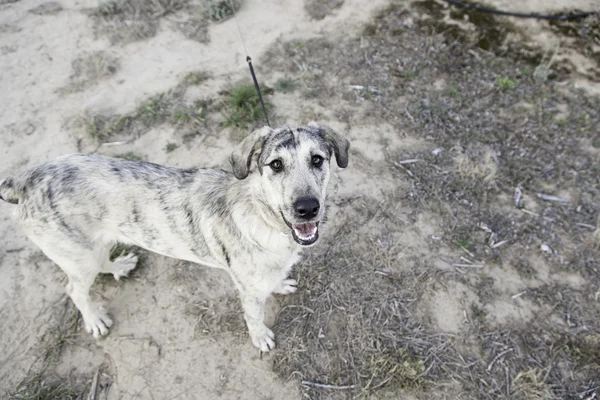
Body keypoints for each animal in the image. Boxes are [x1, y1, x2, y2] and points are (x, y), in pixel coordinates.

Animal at [0, 123, 350, 352]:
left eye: (317, 159)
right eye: (275, 165)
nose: (307, 208)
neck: (263, 217)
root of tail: (27, 178)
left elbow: (275, 279)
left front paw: (280, 284)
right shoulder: (248, 291)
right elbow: (254, 317)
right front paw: (260, 338)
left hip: (91, 249)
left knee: (99, 263)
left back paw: (118, 267)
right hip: (77, 256)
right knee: (74, 289)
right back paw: (95, 318)